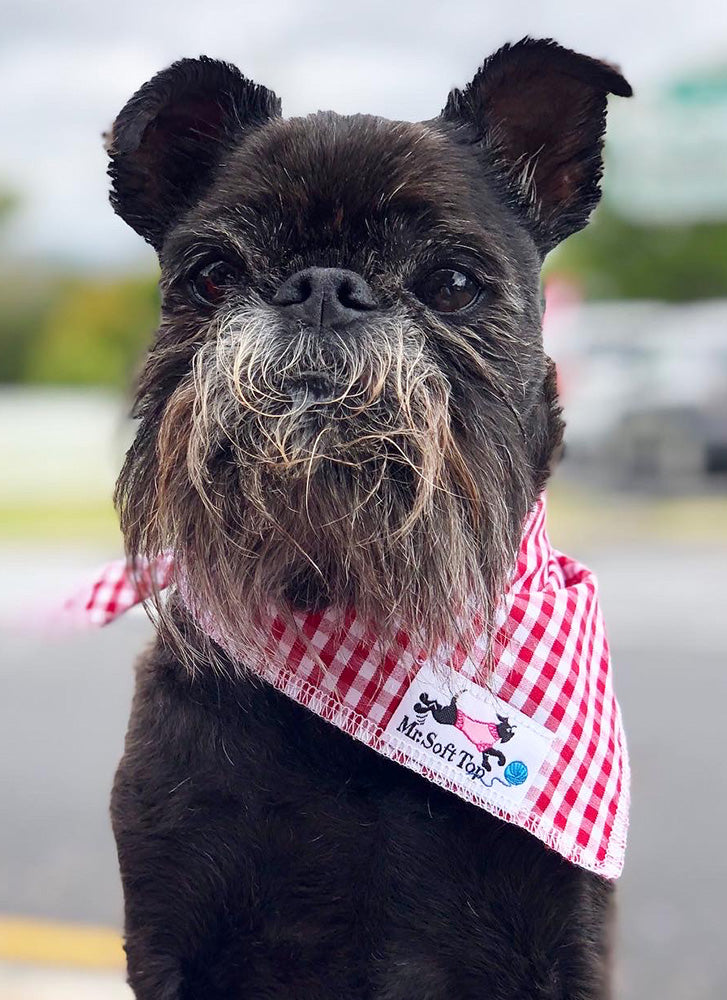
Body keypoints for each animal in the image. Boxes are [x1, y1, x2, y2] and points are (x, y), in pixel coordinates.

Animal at [106, 39, 632, 1000]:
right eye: (211, 276)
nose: (322, 286)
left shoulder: (567, 951)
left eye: (452, 284)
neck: (351, 612)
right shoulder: (172, 940)